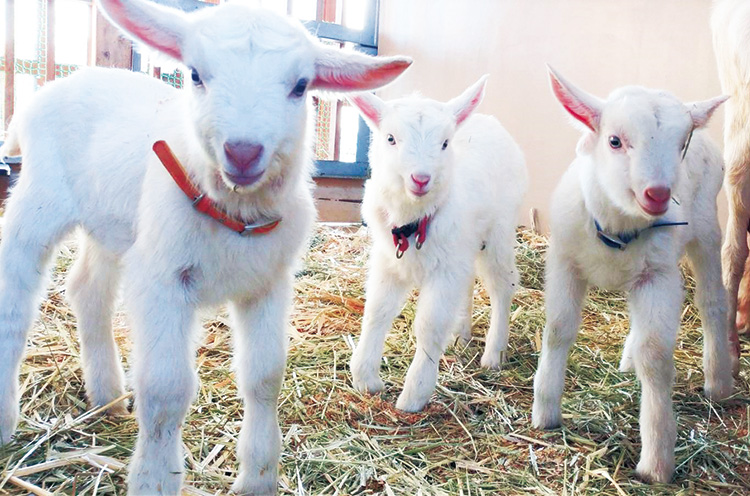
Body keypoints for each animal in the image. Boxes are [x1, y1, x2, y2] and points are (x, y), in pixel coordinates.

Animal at [0, 1, 412, 494]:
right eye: (195, 74)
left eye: (300, 86)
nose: (243, 151)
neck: (233, 215)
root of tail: (66, 81)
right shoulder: (163, 281)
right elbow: (165, 390)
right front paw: (154, 480)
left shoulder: (268, 283)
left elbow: (264, 377)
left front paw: (258, 478)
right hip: (39, 200)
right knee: (15, 301)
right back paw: (7, 417)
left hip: (114, 228)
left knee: (87, 289)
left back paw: (108, 397)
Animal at [352, 76, 528, 410]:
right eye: (390, 138)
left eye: (445, 143)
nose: (420, 179)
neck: (414, 221)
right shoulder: (388, 262)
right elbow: (377, 311)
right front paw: (366, 379)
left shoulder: (445, 270)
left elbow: (429, 325)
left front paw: (414, 394)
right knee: (469, 281)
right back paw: (461, 334)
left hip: (498, 233)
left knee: (503, 284)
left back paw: (493, 354)